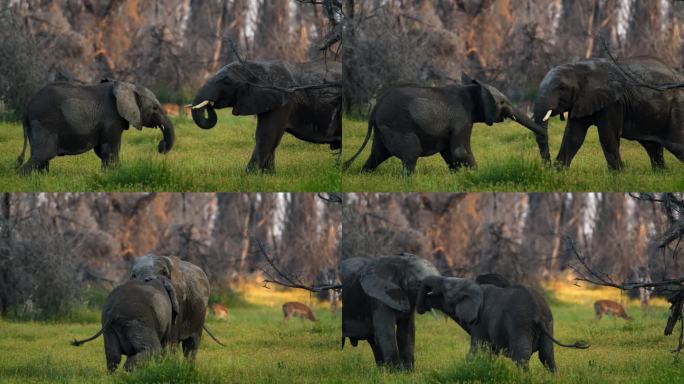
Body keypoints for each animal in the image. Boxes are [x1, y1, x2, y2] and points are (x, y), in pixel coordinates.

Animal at [15, 80, 174, 175]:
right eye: (154, 108)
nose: (161, 147)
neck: (125, 85)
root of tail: (26, 108)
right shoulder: (111, 119)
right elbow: (110, 149)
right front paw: (114, 174)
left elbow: (102, 150)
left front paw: (108, 174)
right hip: (45, 122)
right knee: (43, 154)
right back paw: (21, 177)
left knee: (41, 158)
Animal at [190, 59, 342, 172]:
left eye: (227, 82)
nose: (210, 104)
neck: (258, 66)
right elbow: (267, 135)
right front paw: (268, 175)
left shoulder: (283, 101)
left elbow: (267, 135)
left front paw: (250, 175)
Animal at [344, 75, 548, 174]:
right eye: (503, 103)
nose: (545, 135)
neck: (474, 88)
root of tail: (375, 109)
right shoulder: (461, 120)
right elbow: (460, 151)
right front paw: (477, 174)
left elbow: (450, 153)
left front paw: (459, 175)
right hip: (397, 125)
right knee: (411, 153)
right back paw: (409, 181)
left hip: (383, 129)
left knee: (377, 154)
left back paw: (364, 174)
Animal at [414, 276, 592, 372]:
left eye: (445, 292)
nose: (421, 309)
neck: (473, 287)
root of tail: (537, 312)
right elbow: (488, 354)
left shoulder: (480, 323)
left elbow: (476, 351)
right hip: (548, 322)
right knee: (547, 356)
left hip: (520, 323)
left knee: (521, 357)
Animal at [536, 56, 684, 170]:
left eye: (562, 88)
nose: (546, 166)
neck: (581, 68)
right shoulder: (582, 100)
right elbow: (573, 136)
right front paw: (558, 172)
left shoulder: (613, 103)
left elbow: (607, 135)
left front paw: (618, 174)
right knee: (653, 147)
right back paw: (660, 173)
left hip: (677, 110)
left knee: (676, 144)